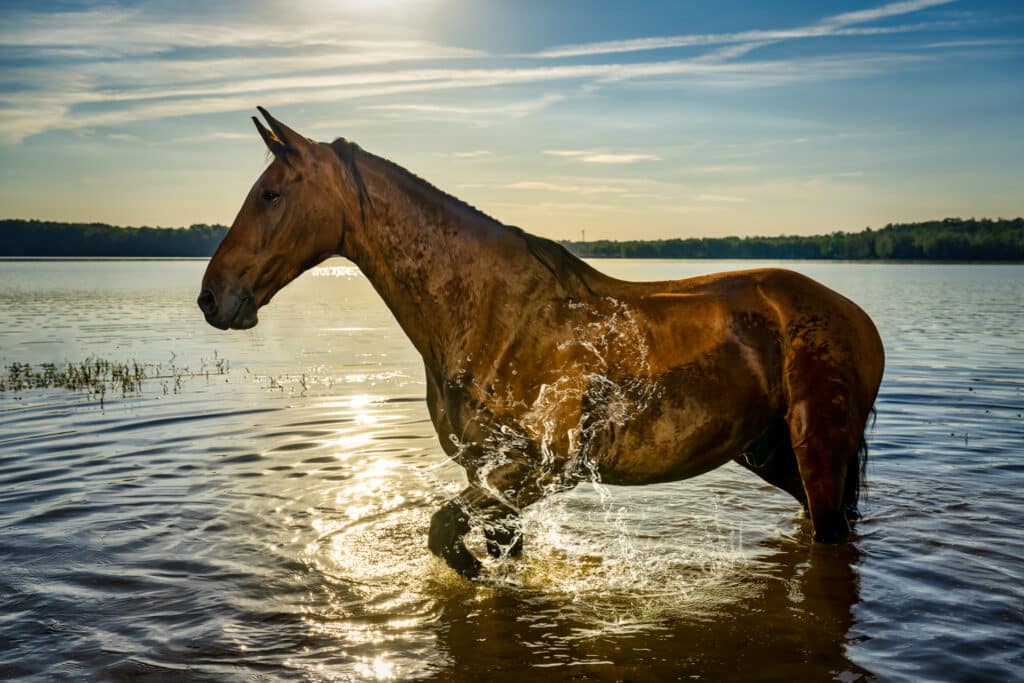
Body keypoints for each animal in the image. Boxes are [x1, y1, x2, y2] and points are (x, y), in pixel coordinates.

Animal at [197, 109, 880, 581]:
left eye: (271, 194)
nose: (211, 297)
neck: (487, 313)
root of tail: (853, 315)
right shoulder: (489, 471)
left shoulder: (543, 469)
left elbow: (443, 530)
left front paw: (474, 573)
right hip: (771, 454)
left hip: (818, 453)